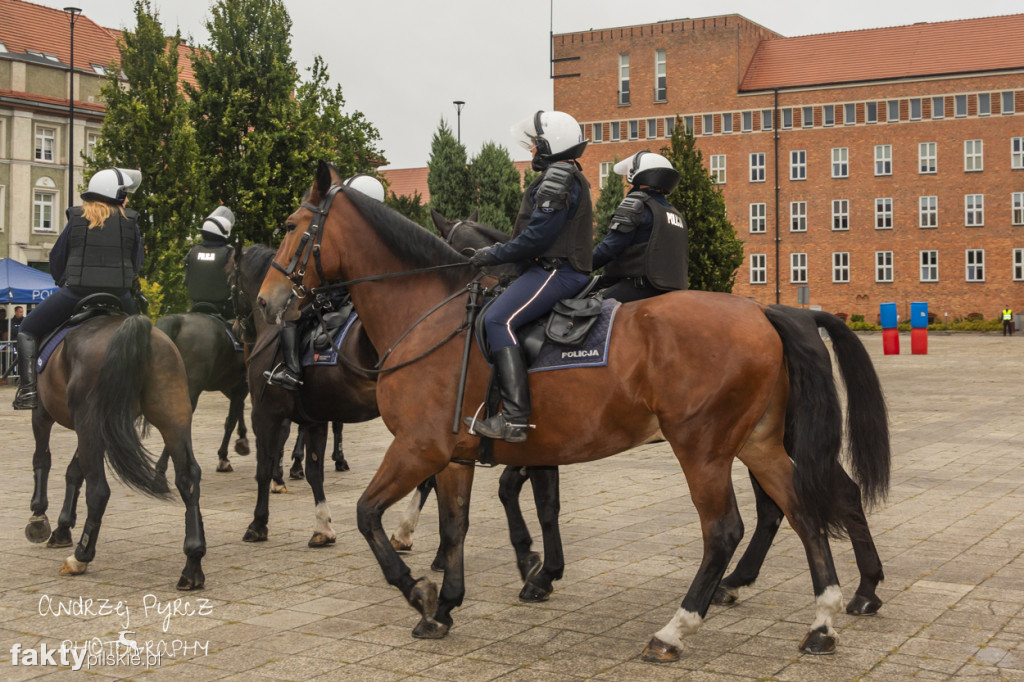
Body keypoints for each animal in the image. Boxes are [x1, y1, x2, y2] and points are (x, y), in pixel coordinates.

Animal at [23, 309, 204, 589]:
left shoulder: (42, 414)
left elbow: (42, 461)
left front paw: (39, 519)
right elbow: (74, 472)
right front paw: (62, 528)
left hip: (88, 422)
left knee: (98, 490)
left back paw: (80, 557)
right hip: (173, 417)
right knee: (188, 478)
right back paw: (192, 564)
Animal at [155, 311, 251, 471]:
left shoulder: (231, 388)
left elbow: (238, 412)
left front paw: (241, 440)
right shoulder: (241, 388)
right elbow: (231, 420)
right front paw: (224, 457)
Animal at [428, 210, 884, 610]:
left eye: (459, 248)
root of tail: (769, 312)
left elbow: (521, 495)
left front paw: (533, 565)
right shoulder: (543, 443)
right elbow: (541, 502)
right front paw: (539, 568)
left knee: (803, 500)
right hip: (760, 438)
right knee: (804, 499)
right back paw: (845, 587)